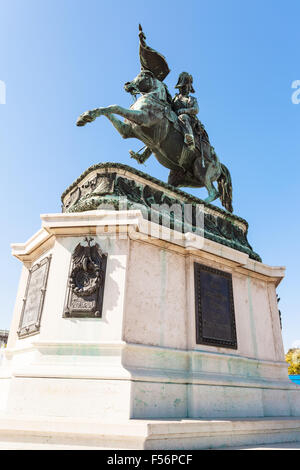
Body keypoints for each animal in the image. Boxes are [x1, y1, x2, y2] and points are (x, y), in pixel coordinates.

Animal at [76, 70, 233, 213]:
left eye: (143, 75)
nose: (127, 85)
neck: (154, 99)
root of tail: (220, 164)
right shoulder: (127, 130)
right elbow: (110, 109)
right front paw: (86, 116)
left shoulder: (143, 118)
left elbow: (115, 107)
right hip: (179, 177)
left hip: (201, 170)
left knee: (213, 192)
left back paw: (197, 205)